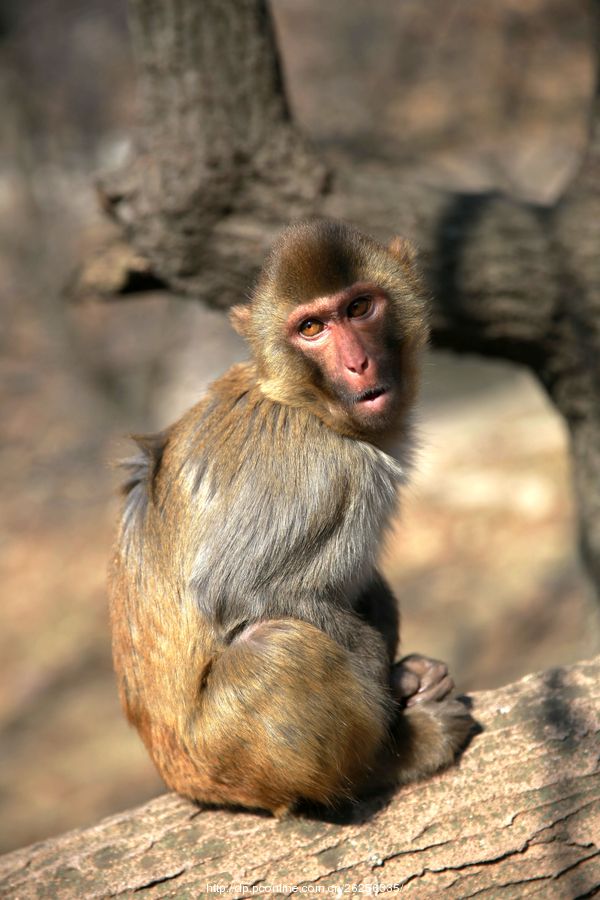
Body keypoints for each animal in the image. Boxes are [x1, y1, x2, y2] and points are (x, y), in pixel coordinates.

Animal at [109, 218, 474, 816]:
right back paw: (390, 759)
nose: (357, 363)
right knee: (277, 650)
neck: (304, 401)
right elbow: (235, 589)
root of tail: (179, 776)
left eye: (359, 308)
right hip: (228, 760)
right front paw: (391, 688)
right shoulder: (324, 470)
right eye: (311, 328)